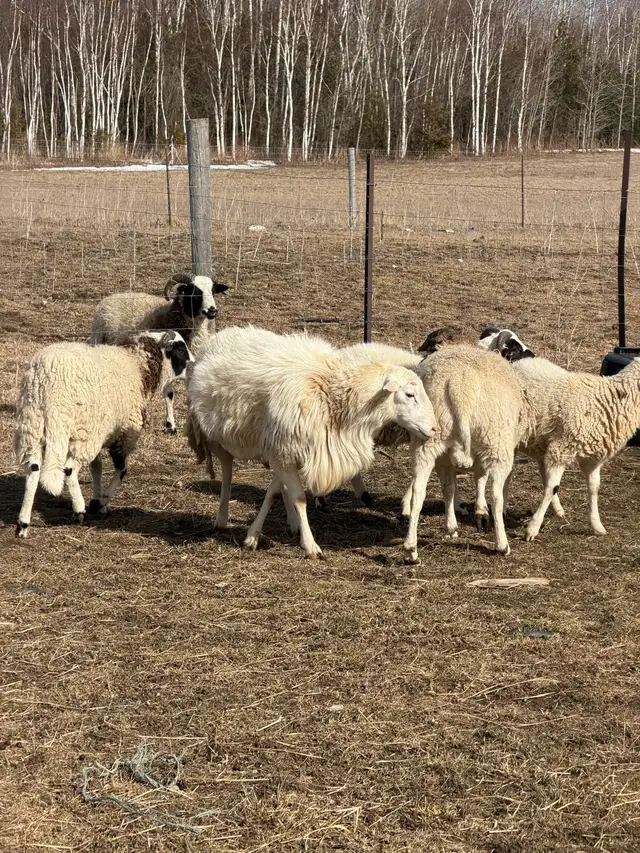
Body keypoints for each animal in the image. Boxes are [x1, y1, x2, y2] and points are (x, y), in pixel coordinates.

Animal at [14, 331, 193, 537]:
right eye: (180, 349)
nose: (194, 365)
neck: (138, 364)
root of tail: (47, 383)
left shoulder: (101, 433)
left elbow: (96, 467)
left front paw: (97, 500)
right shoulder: (124, 434)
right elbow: (122, 469)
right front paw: (104, 499)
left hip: (32, 425)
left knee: (33, 468)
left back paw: (23, 523)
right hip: (80, 432)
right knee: (69, 469)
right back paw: (79, 509)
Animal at [90, 272, 228, 434]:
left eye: (213, 291)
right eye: (193, 291)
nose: (212, 310)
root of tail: (109, 298)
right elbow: (169, 394)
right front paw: (170, 424)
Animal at [185, 326, 436, 557]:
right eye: (410, 395)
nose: (434, 429)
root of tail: (221, 334)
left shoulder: (284, 451)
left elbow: (275, 492)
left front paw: (255, 535)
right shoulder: (284, 452)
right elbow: (299, 498)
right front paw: (310, 545)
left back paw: (291, 524)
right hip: (214, 438)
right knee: (227, 474)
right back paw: (222, 518)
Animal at [402, 344, 535, 562]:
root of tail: (460, 387)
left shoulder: (445, 459)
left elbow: (450, 488)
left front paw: (453, 527)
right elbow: (481, 478)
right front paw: (481, 512)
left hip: (428, 441)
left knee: (418, 493)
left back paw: (411, 550)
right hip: (496, 441)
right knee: (496, 495)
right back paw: (502, 545)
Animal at [509, 354, 640, 541]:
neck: (610, 399)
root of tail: (518, 362)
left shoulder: (592, 458)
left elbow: (594, 488)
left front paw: (597, 525)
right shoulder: (561, 449)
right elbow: (552, 487)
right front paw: (532, 528)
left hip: (541, 442)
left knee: (543, 473)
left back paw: (558, 510)